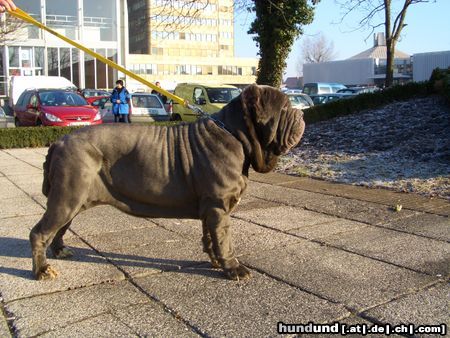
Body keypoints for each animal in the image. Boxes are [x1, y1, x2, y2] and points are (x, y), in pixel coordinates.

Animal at [29, 84, 304, 280]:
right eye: (285, 109)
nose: (301, 114)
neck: (235, 133)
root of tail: (58, 142)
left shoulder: (210, 207)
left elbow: (210, 237)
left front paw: (215, 261)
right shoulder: (219, 205)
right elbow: (224, 239)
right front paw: (234, 268)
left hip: (73, 199)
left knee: (60, 228)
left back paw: (60, 251)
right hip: (68, 196)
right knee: (40, 232)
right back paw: (42, 270)